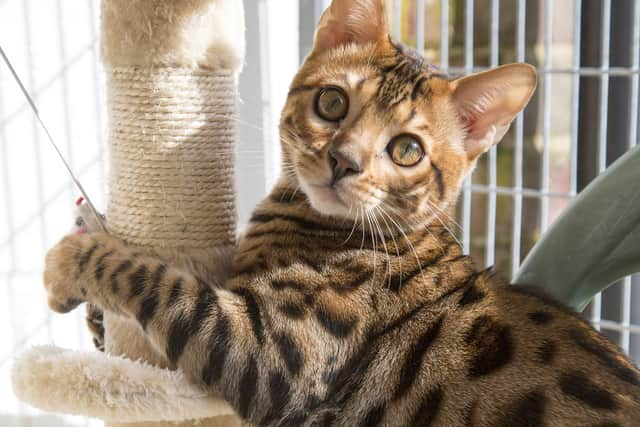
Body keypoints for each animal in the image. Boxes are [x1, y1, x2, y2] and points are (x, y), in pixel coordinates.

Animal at [42, 0, 636, 426]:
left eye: (406, 150)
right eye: (332, 103)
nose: (344, 161)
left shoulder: (273, 356)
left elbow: (157, 280)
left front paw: (71, 260)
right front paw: (87, 254)